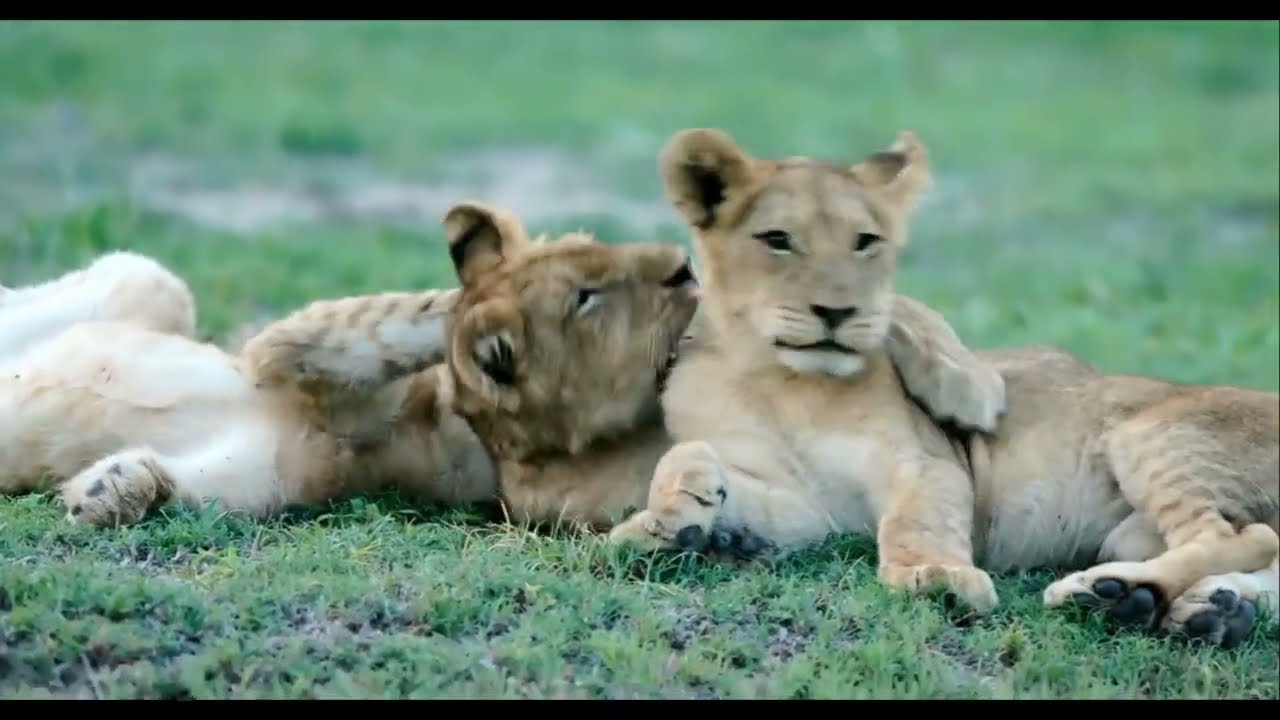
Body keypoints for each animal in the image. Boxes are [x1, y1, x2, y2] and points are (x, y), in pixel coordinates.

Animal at [0, 204, 1000, 536]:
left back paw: (114, 486)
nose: (684, 268)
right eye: (591, 291)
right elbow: (389, 320)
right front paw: (494, 286)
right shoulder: (281, 353)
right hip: (147, 285)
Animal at [599, 127, 1278, 649]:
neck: (782, 381)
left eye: (865, 242)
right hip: (1133, 523)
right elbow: (688, 459)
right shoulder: (805, 508)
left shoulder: (923, 461)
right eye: (777, 240)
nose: (837, 312)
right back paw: (1197, 608)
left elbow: (917, 520)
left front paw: (937, 577)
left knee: (1241, 535)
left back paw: (1111, 593)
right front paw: (673, 517)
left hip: (1153, 436)